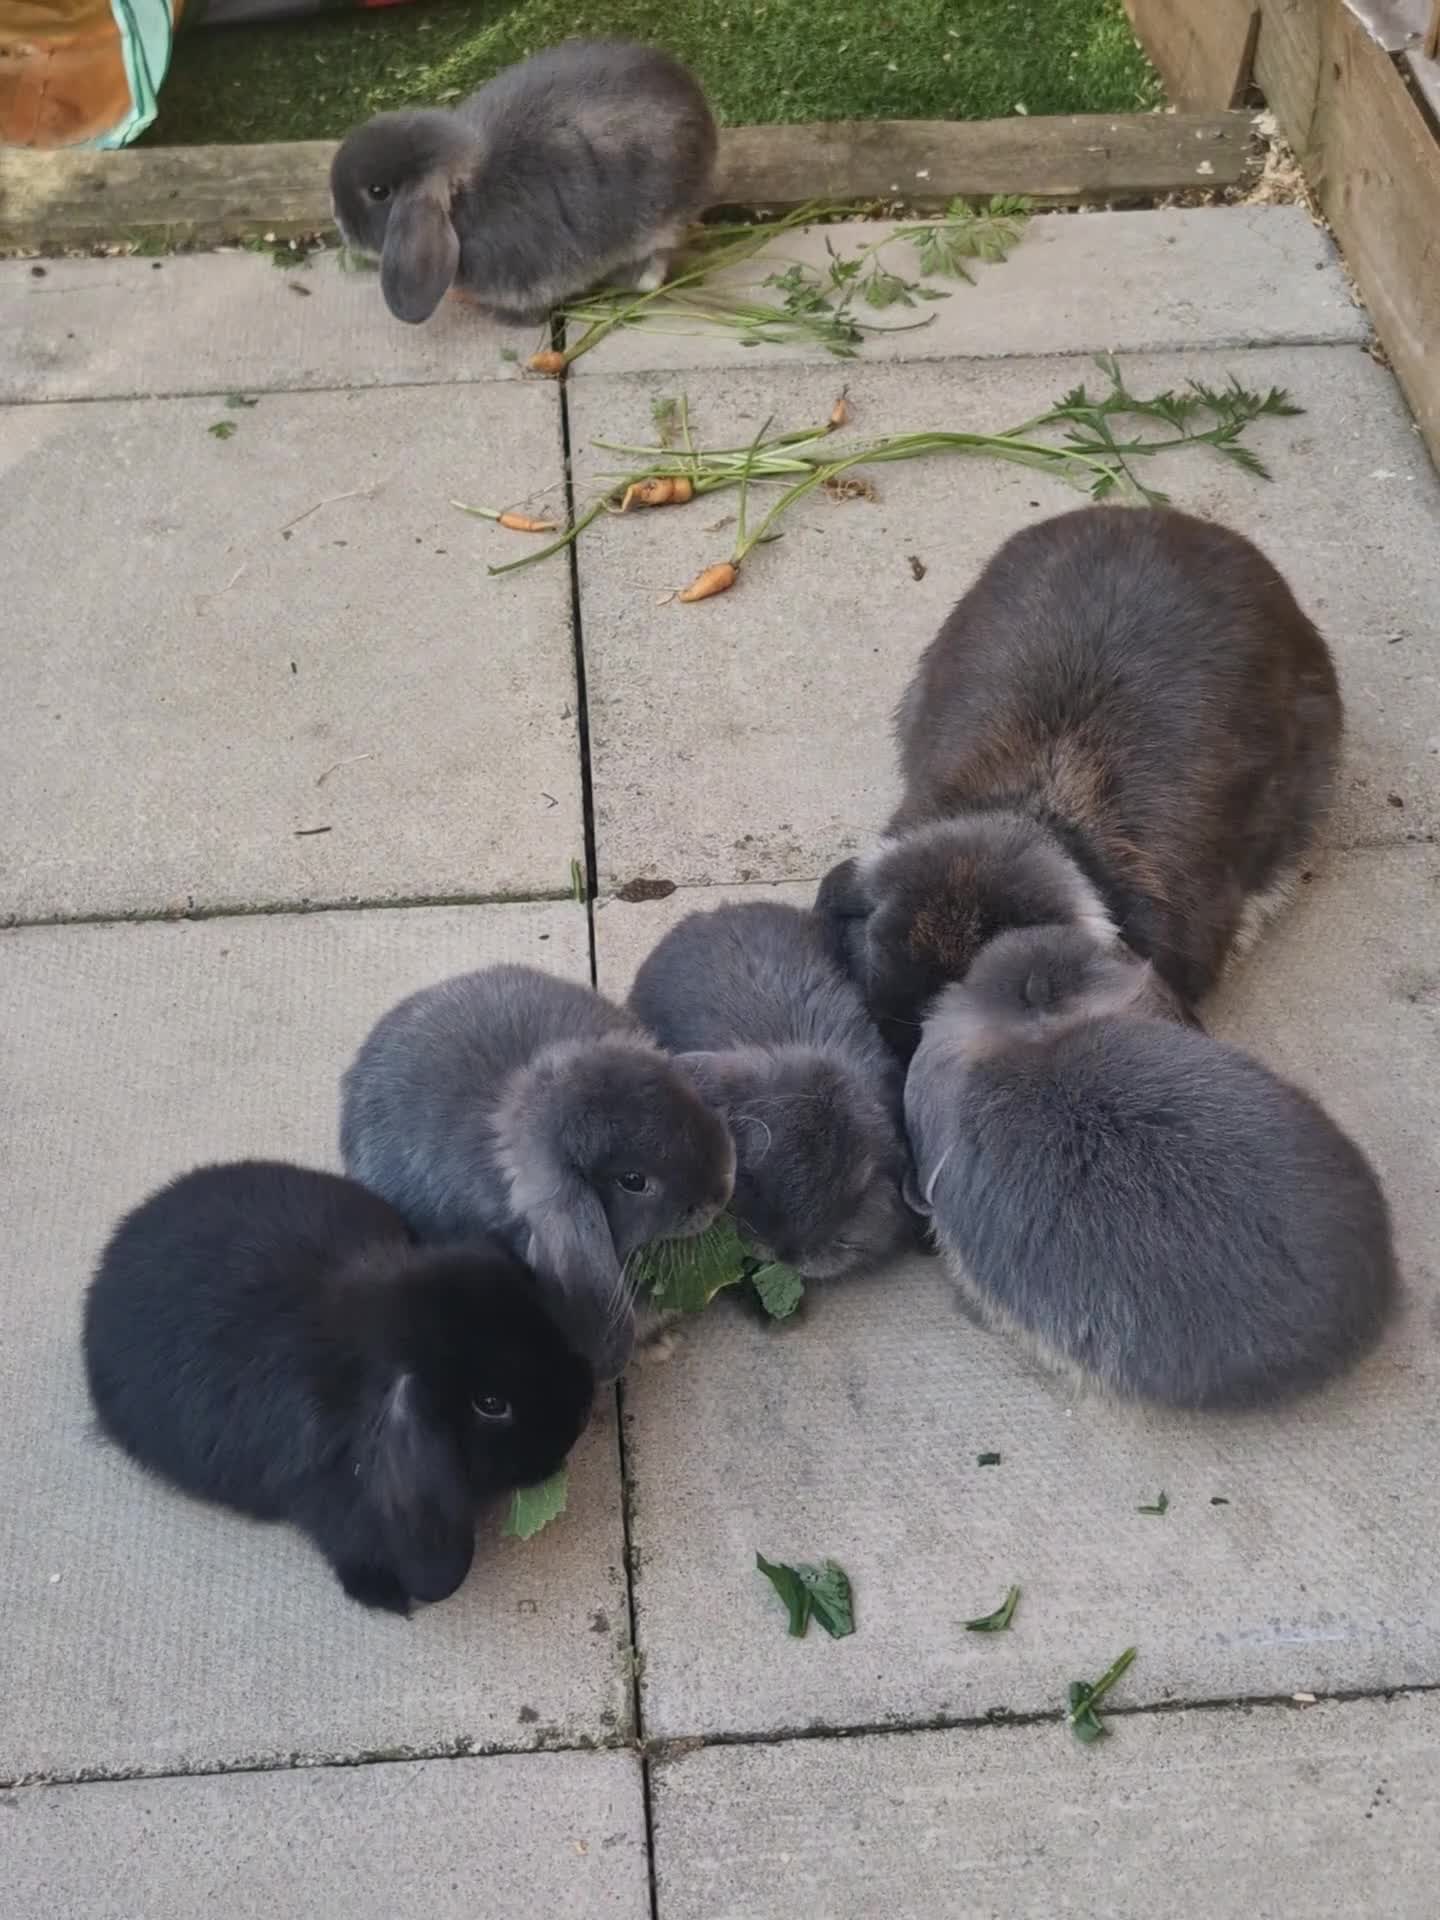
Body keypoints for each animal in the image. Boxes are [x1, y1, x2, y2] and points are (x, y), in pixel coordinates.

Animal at [330, 40, 717, 325]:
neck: (467, 193)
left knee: (653, 266)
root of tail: (699, 103)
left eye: (378, 192)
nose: (337, 217)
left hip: (657, 221)